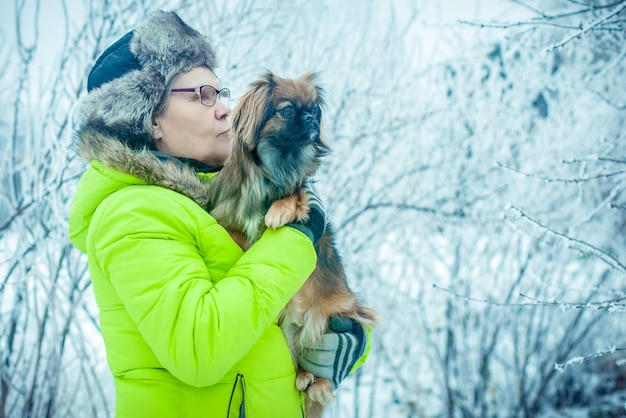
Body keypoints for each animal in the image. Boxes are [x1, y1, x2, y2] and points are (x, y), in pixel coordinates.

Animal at [207, 72, 378, 418]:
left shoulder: (302, 191)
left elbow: (297, 195)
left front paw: (279, 210)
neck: (275, 169)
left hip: (333, 318)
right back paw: (303, 376)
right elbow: (232, 231)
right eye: (287, 111)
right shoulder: (230, 218)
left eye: (314, 110)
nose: (310, 118)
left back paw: (318, 380)